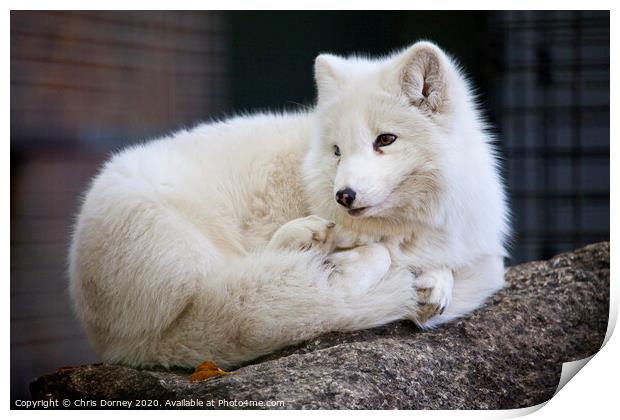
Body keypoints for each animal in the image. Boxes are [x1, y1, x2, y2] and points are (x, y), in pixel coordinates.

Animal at [70, 41, 512, 370]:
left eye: (385, 140)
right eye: (337, 150)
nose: (343, 196)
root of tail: (116, 344)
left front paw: (436, 282)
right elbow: (383, 255)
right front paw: (349, 269)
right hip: (187, 246)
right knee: (237, 283)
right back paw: (309, 245)